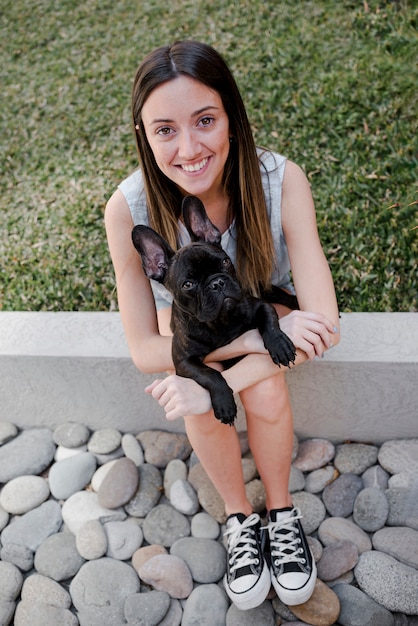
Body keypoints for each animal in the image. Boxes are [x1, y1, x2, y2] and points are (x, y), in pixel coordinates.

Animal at [132, 196, 296, 424]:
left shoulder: (259, 305)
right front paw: (225, 404)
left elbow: (269, 322)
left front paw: (279, 345)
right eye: (188, 284)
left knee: (282, 295)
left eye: (225, 262)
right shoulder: (184, 361)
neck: (220, 321)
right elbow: (210, 374)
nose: (217, 283)